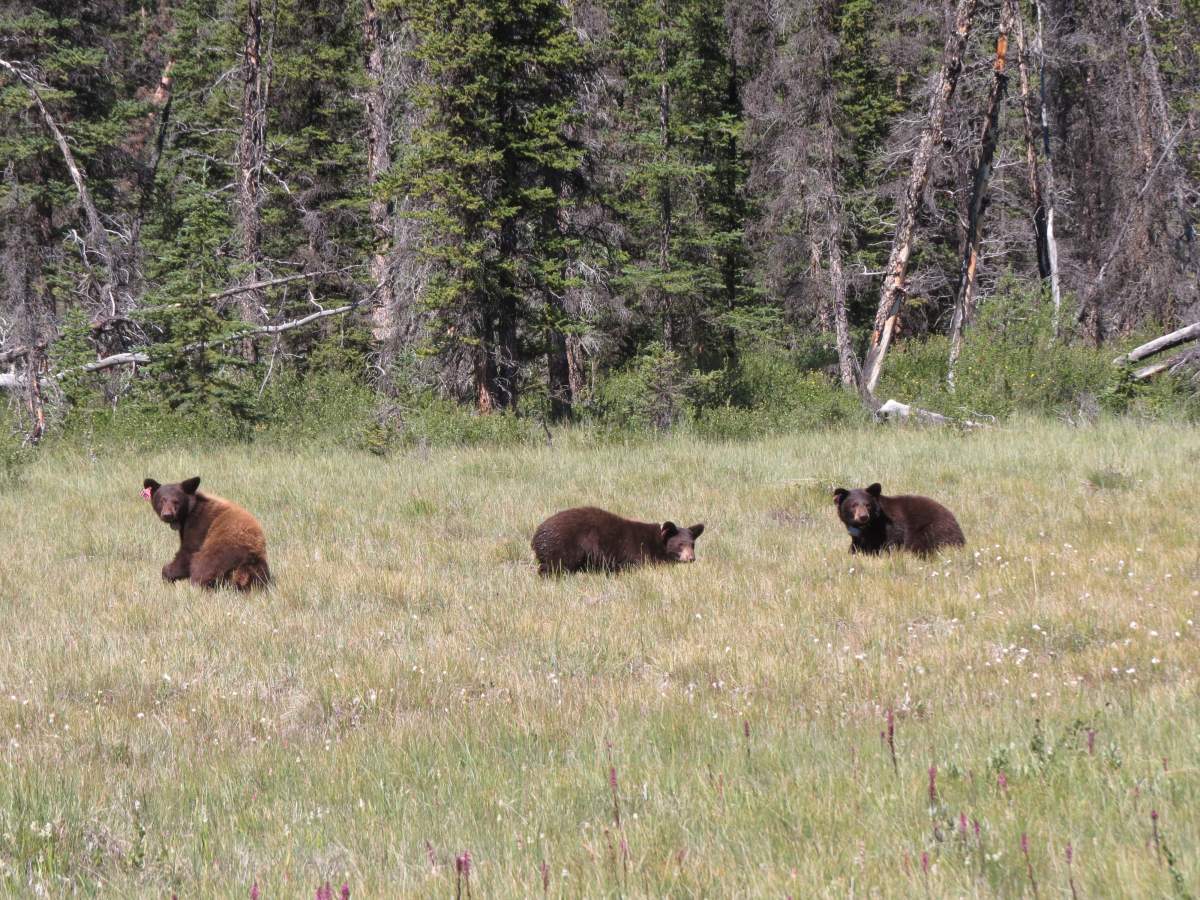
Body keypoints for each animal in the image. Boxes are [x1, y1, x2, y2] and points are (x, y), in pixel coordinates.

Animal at [532, 506, 705, 575]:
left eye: (692, 544)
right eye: (680, 544)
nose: (691, 558)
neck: (656, 542)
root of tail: (536, 535)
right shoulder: (637, 552)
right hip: (564, 546)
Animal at [832, 483, 964, 557]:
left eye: (867, 505)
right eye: (853, 505)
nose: (863, 516)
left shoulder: (889, 528)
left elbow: (889, 544)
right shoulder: (858, 537)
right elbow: (855, 546)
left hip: (933, 530)